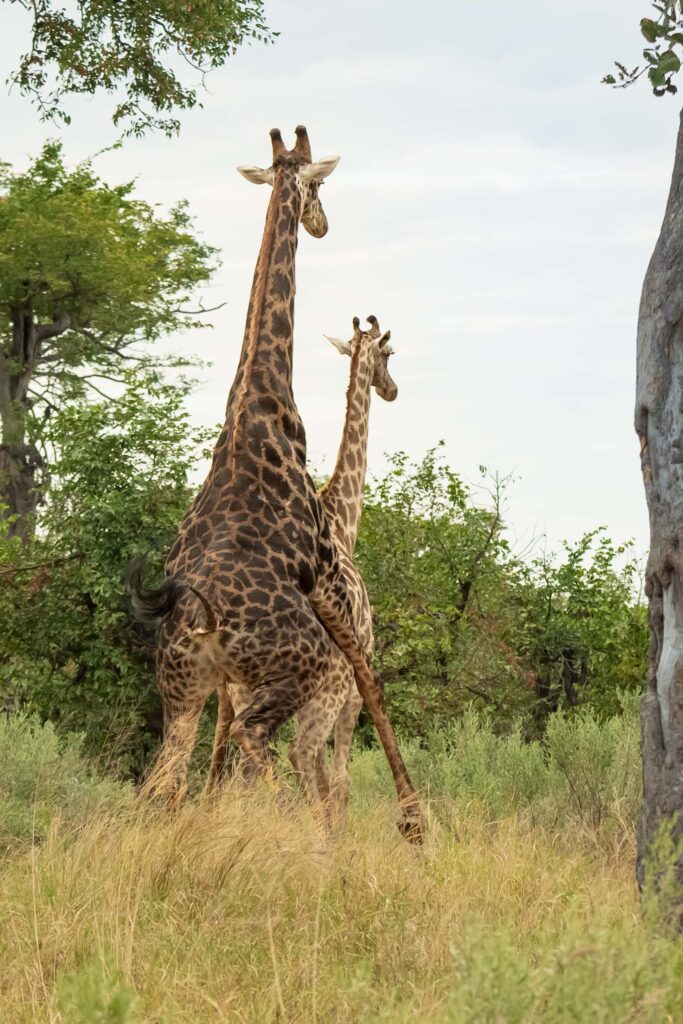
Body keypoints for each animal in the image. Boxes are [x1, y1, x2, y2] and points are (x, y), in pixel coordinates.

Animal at [129, 127, 422, 842]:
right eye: (319, 186)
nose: (322, 222)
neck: (255, 401)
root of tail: (201, 620)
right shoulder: (324, 573)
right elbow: (370, 686)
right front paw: (416, 820)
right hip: (288, 675)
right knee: (265, 746)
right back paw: (304, 837)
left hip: (183, 692)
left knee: (165, 780)